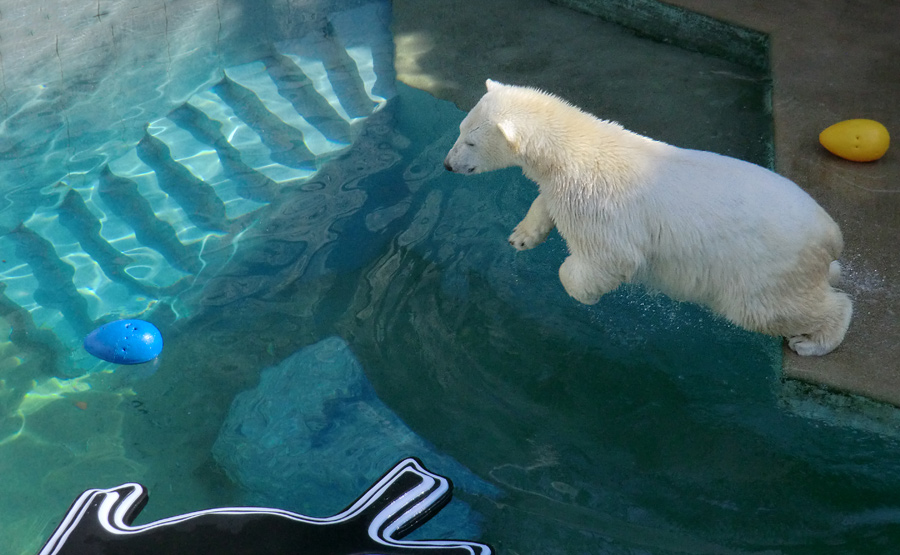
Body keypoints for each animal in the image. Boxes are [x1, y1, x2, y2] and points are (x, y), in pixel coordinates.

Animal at [442, 78, 852, 356]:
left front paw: (583, 291)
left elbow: (611, 259)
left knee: (775, 309)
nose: (447, 164)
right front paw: (522, 235)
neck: (575, 150)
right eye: (460, 130)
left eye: (471, 142)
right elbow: (545, 201)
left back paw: (812, 341)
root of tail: (831, 233)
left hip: (763, 270)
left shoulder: (601, 207)